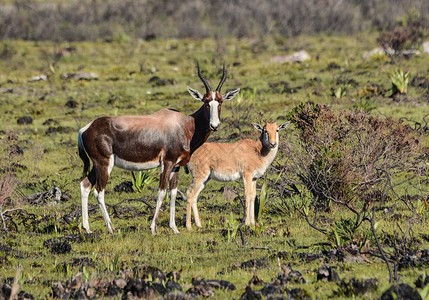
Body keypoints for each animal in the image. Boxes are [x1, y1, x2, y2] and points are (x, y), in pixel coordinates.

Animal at [78, 63, 239, 234]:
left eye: (220, 102)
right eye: (206, 102)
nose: (214, 125)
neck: (185, 124)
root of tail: (86, 128)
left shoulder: (176, 166)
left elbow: (173, 193)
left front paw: (174, 228)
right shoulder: (167, 163)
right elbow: (161, 193)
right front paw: (153, 228)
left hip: (97, 165)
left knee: (85, 186)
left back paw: (87, 229)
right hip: (104, 164)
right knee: (99, 191)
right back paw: (111, 228)